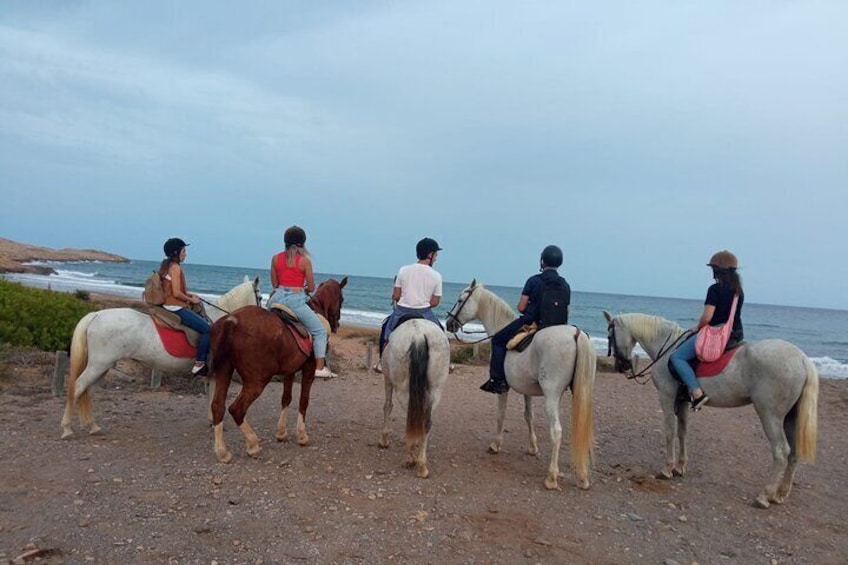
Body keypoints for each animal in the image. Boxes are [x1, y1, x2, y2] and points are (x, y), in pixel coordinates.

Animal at [60, 276, 260, 438]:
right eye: (259, 296)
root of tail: (96, 314)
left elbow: (210, 396)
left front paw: (212, 421)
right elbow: (214, 397)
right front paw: (215, 422)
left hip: (102, 367)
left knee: (87, 392)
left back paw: (92, 426)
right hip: (98, 365)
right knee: (78, 388)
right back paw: (67, 429)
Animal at [207, 274, 346, 462]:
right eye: (342, 299)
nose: (337, 324)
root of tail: (232, 321)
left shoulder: (290, 371)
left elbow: (286, 398)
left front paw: (281, 433)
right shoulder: (308, 369)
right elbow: (303, 401)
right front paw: (302, 436)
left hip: (224, 372)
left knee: (217, 406)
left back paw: (222, 452)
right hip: (257, 381)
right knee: (236, 409)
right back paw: (252, 444)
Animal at [380, 318, 454, 476]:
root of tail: (419, 335)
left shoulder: (387, 379)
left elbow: (387, 406)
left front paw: (384, 440)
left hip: (402, 389)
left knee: (411, 417)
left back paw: (410, 458)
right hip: (435, 390)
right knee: (425, 422)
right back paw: (422, 465)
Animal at [444, 278, 596, 490]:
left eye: (459, 300)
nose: (449, 323)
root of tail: (576, 334)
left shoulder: (503, 389)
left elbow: (501, 414)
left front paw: (496, 445)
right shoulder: (527, 391)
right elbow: (528, 416)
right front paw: (533, 448)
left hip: (552, 395)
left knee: (556, 432)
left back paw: (551, 477)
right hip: (580, 393)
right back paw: (582, 477)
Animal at [608, 310, 820, 508]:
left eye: (610, 336)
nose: (621, 366)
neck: (667, 348)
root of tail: (802, 359)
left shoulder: (666, 397)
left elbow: (670, 431)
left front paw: (667, 469)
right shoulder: (683, 402)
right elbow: (682, 431)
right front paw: (680, 467)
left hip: (770, 415)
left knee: (781, 452)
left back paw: (764, 496)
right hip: (791, 417)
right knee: (793, 453)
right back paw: (780, 494)